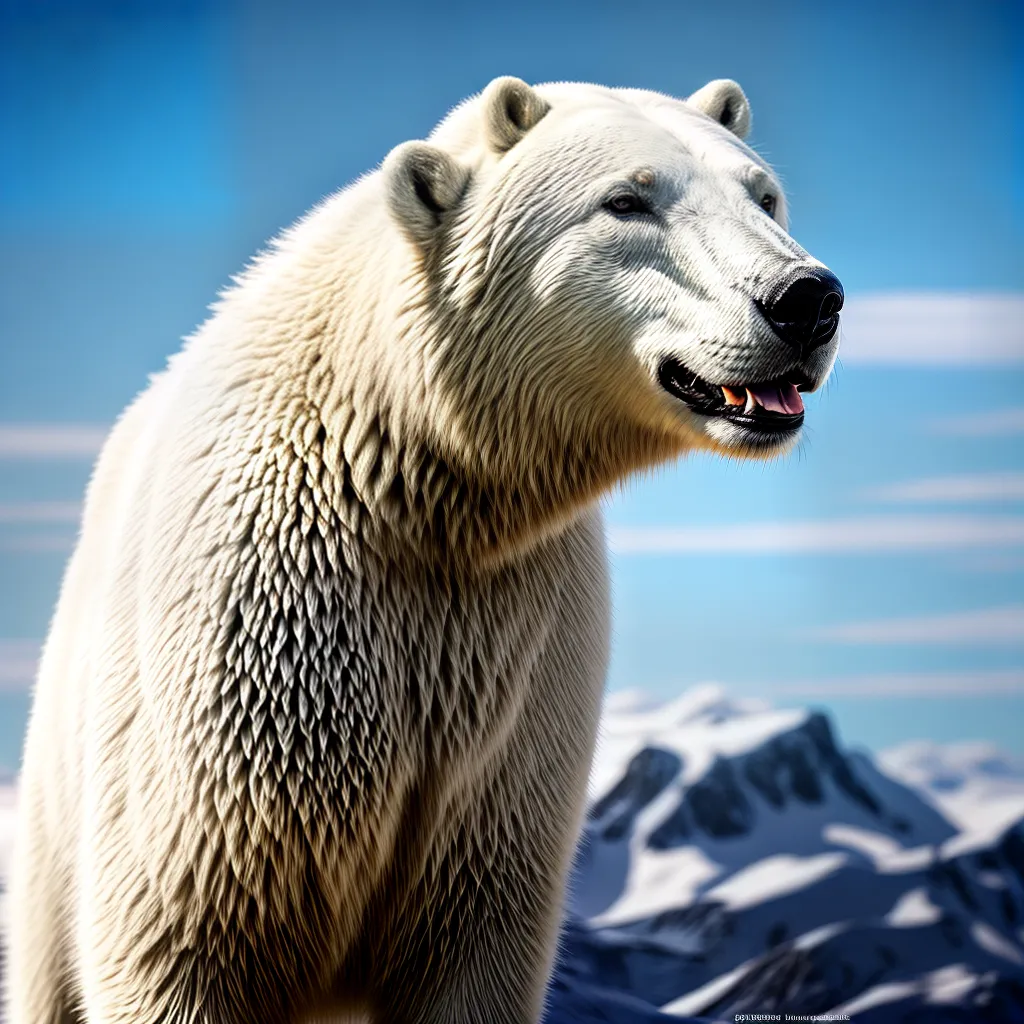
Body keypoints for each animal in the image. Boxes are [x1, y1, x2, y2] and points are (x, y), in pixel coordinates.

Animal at [6, 76, 842, 1024]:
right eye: (627, 201)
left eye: (764, 195)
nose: (806, 299)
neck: (407, 477)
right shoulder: (240, 677)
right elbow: (179, 940)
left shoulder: (513, 689)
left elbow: (472, 940)